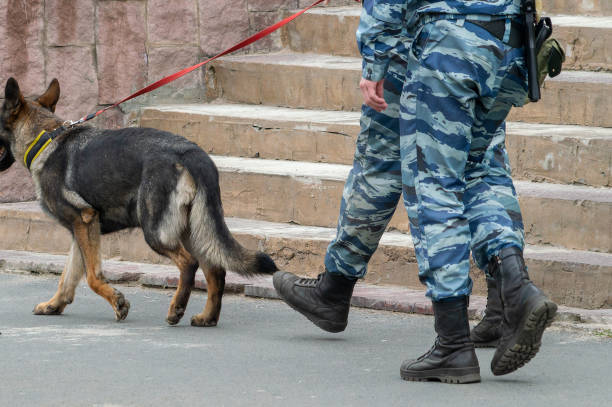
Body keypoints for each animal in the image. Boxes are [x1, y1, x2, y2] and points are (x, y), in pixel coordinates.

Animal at [0, 79, 278, 328]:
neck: (44, 137)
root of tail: (192, 153)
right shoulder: (80, 230)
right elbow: (68, 276)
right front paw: (54, 304)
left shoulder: (84, 220)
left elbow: (92, 276)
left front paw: (117, 303)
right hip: (192, 228)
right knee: (215, 269)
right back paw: (207, 317)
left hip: (156, 231)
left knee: (190, 263)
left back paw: (177, 308)